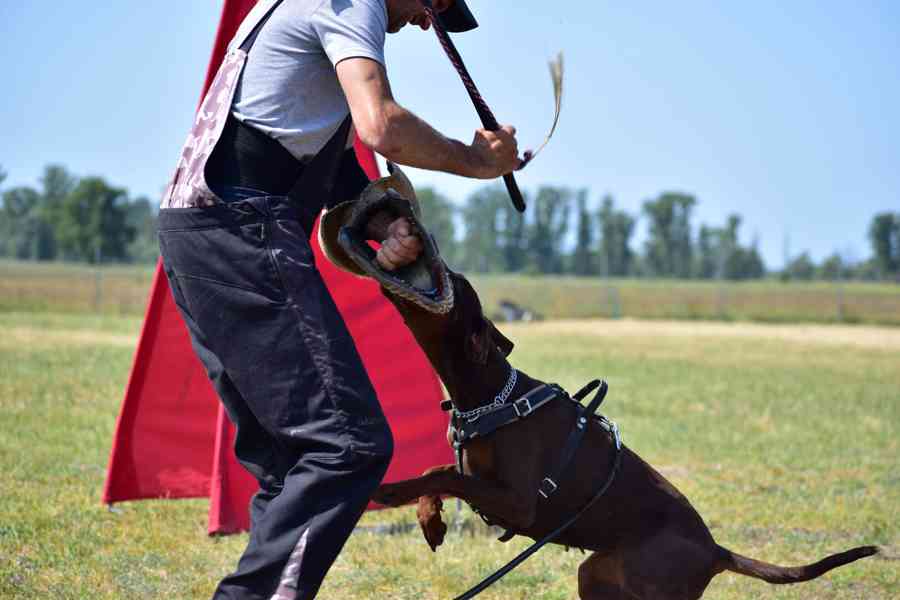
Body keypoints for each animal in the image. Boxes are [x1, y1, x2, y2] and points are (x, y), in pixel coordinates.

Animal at [368, 274, 880, 600]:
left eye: (454, 284)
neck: (492, 395)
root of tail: (715, 551)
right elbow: (441, 474)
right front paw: (430, 519)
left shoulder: (518, 502)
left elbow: (440, 472)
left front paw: (394, 490)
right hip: (598, 573)